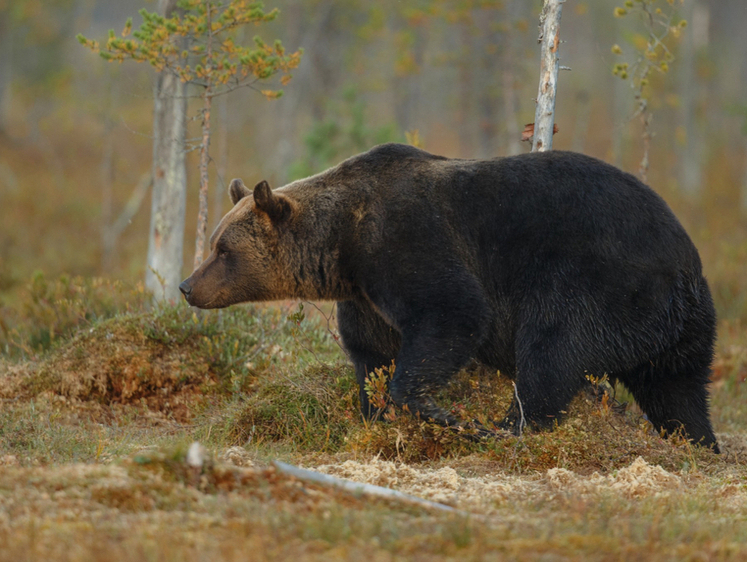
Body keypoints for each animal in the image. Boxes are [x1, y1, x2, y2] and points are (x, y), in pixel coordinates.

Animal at [180, 142, 720, 448]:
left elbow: (453, 312)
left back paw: (508, 428)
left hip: (596, 281)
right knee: (678, 390)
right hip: (678, 327)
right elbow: (370, 355)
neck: (342, 246)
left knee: (552, 352)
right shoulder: (364, 296)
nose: (187, 286)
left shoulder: (407, 242)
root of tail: (685, 266)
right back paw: (697, 444)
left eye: (223, 249)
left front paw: (442, 413)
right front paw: (375, 415)